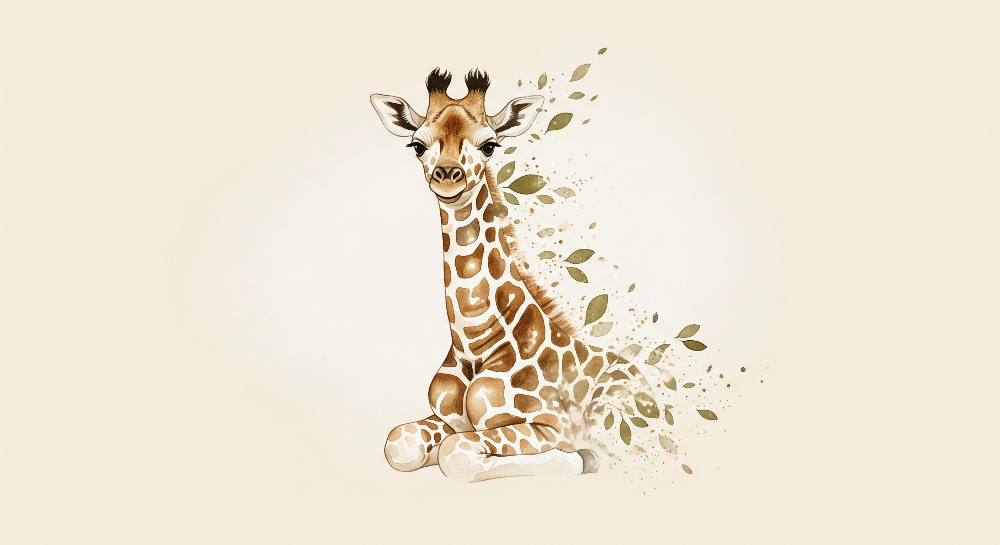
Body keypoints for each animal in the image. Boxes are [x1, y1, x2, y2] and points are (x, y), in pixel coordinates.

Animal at [371, 68, 648, 482]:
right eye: (418, 145)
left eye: (489, 145)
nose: (447, 176)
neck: (473, 345)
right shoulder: (447, 419)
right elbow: (398, 444)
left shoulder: (551, 427)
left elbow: (456, 455)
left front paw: (583, 458)